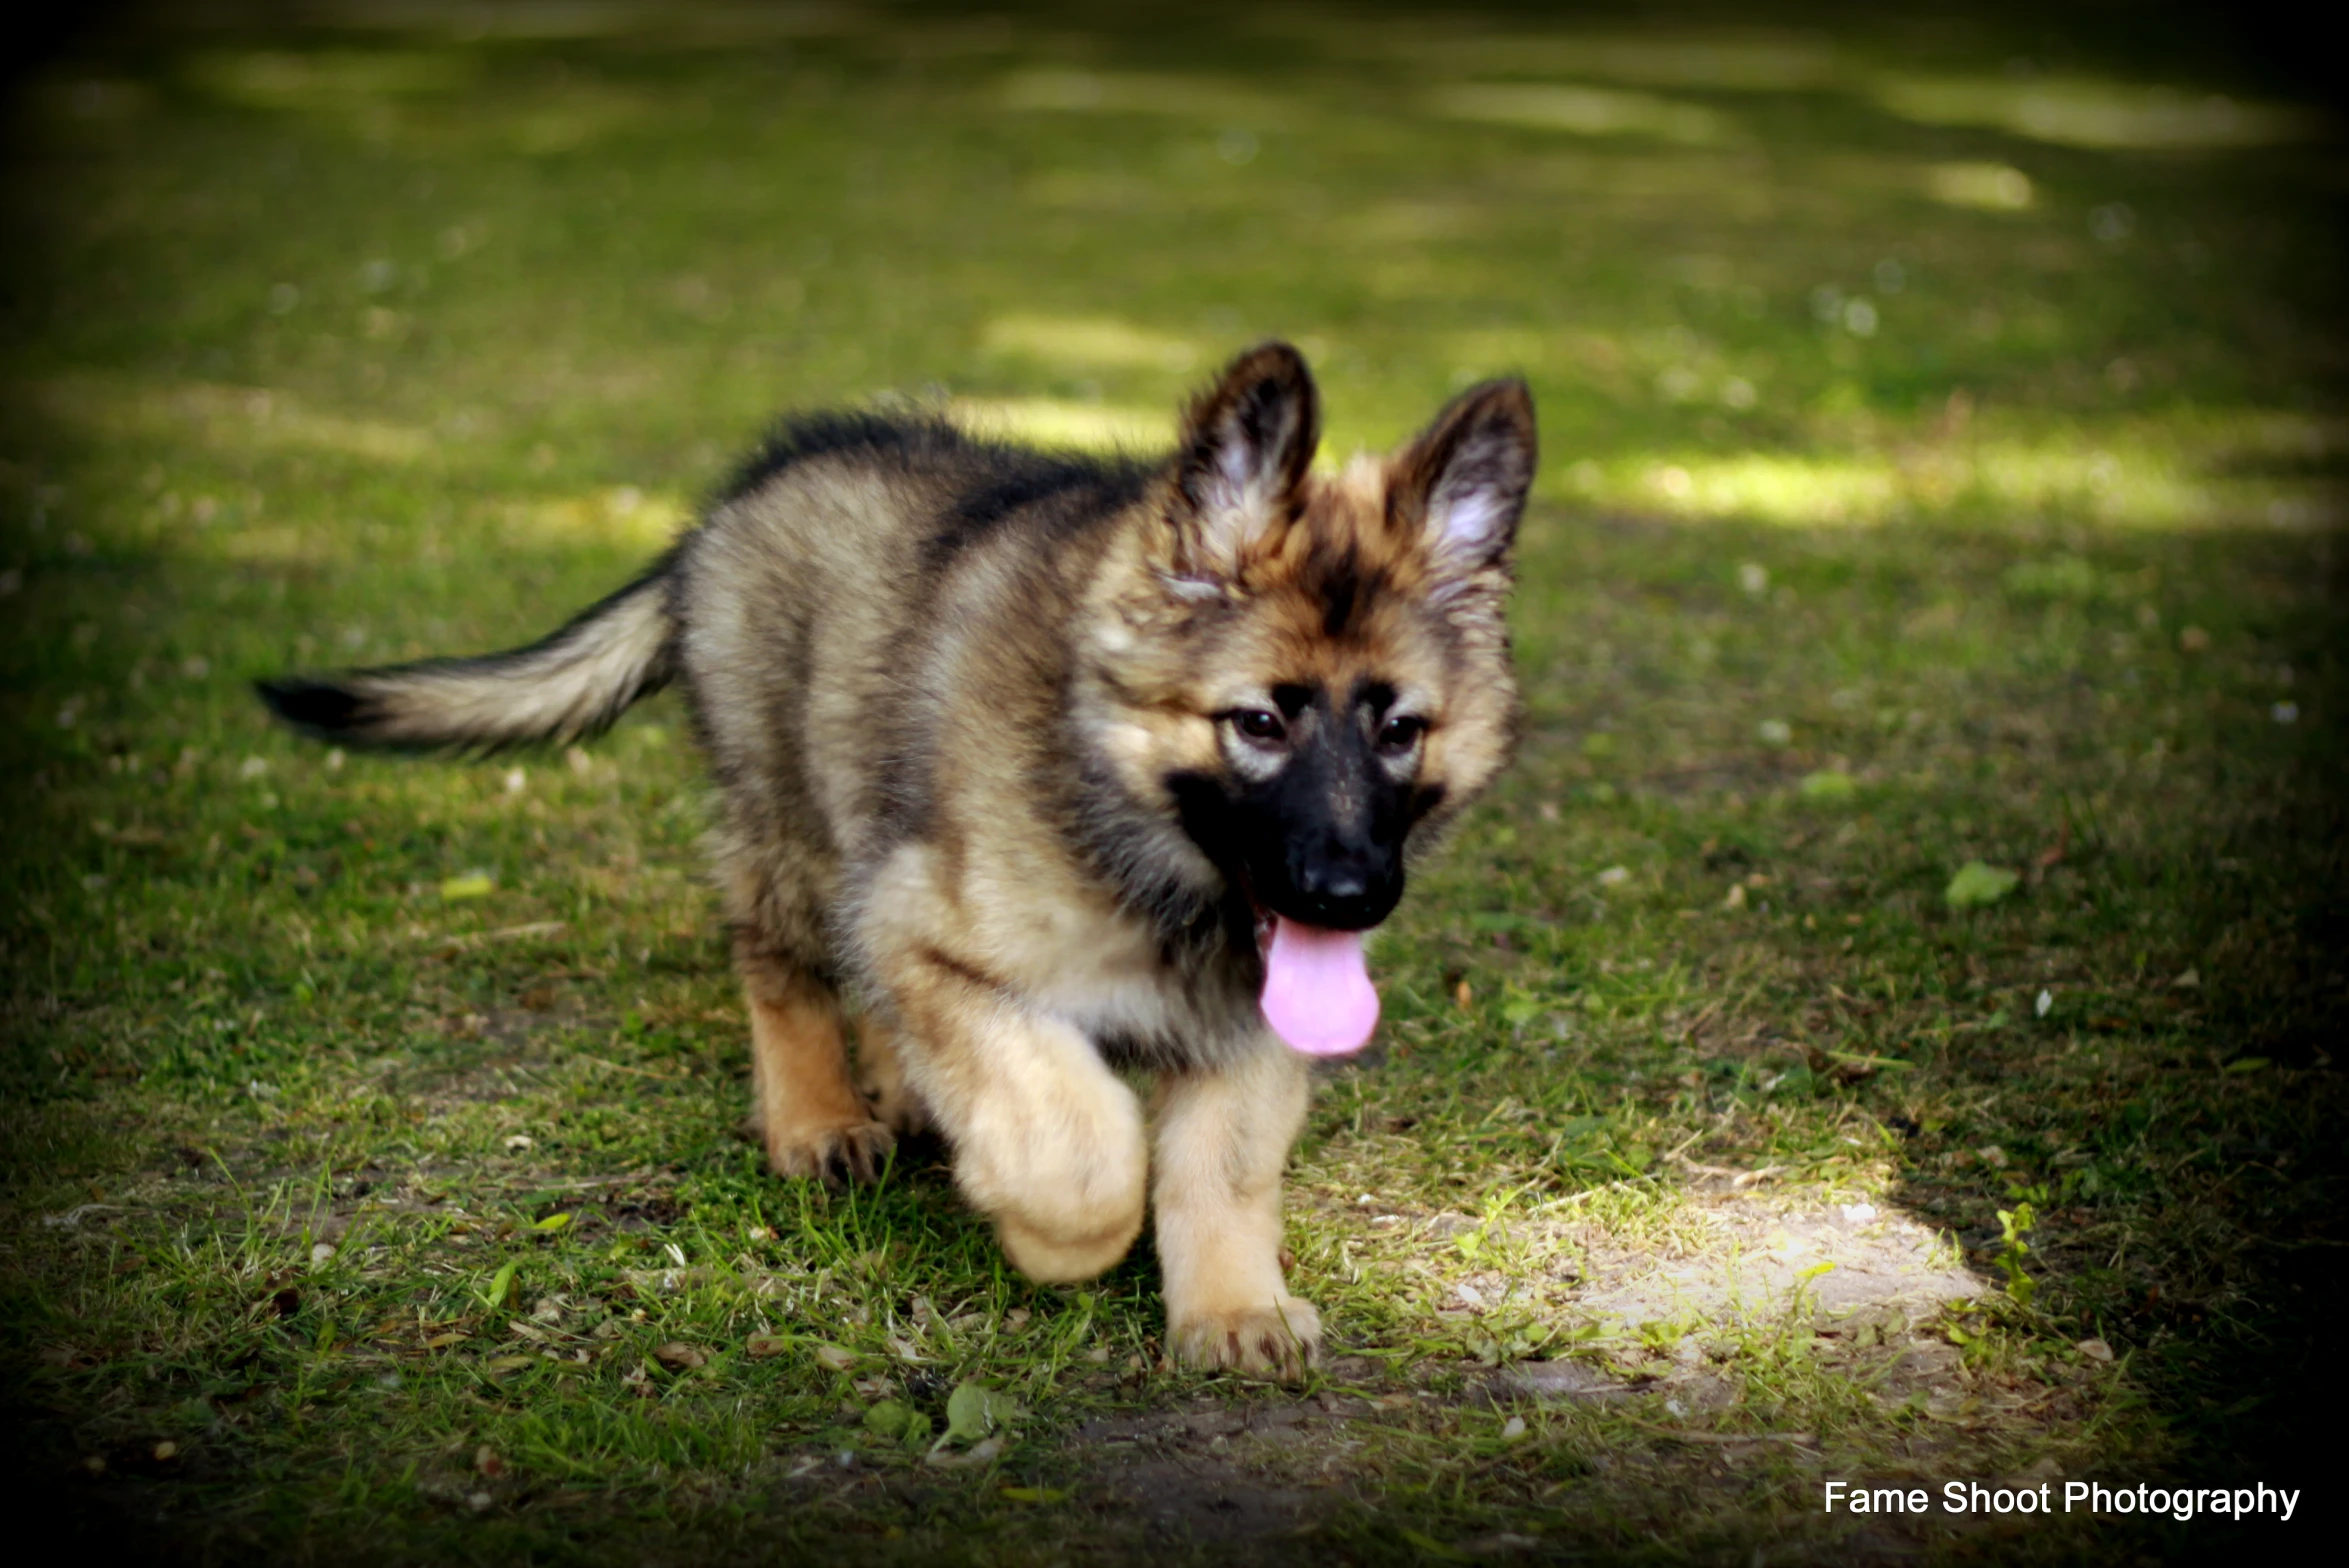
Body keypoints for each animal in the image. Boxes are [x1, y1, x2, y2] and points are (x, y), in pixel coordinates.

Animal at [261, 349, 1540, 1380]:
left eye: (1401, 728)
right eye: (1260, 723)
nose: (1351, 896)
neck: (1145, 850)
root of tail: (731, 506)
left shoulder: (1251, 1012)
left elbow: (1220, 1165)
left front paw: (1232, 1306)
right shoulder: (929, 932)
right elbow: (1081, 1148)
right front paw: (1048, 1235)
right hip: (800, 829)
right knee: (781, 965)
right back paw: (818, 1116)